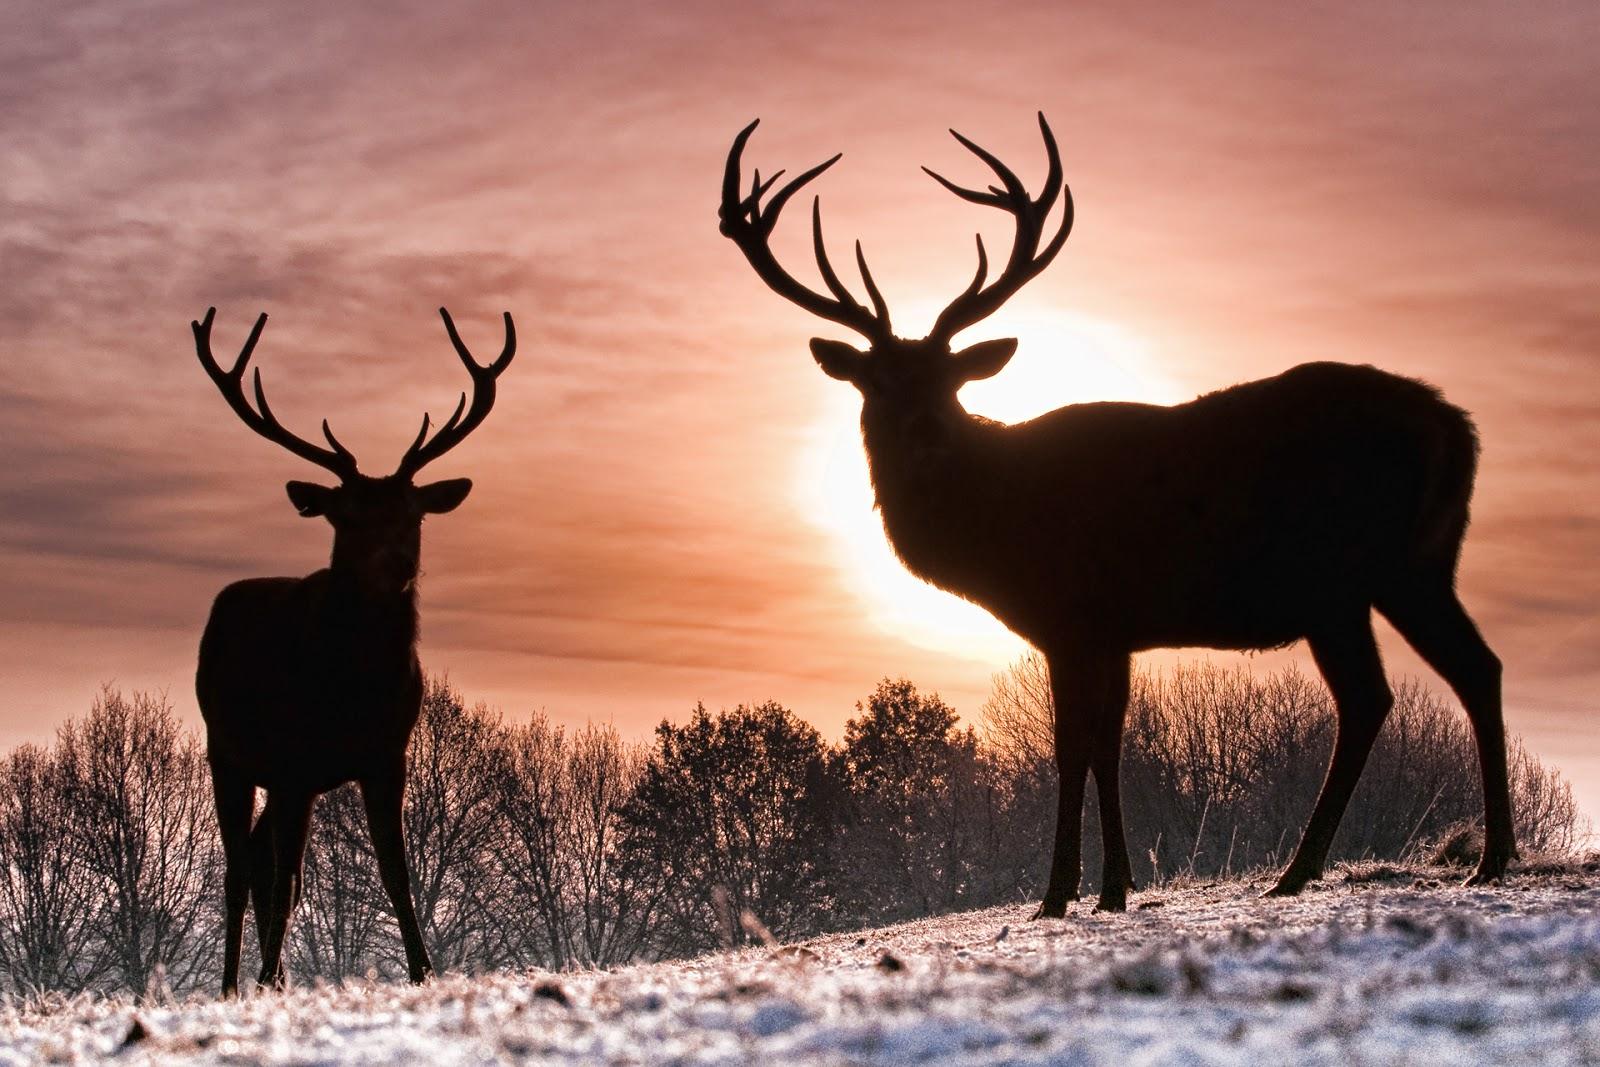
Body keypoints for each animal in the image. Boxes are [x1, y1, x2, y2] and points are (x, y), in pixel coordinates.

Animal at [192, 306, 514, 994]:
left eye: (414, 514)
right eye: (349, 518)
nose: (398, 564)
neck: (351, 687)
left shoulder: (385, 754)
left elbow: (396, 870)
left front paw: (424, 971)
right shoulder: (290, 760)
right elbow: (288, 882)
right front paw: (263, 979)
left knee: (258, 858)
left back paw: (272, 975)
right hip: (226, 752)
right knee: (243, 869)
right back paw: (237, 983)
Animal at [719, 114, 1514, 916]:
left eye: (950, 379)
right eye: (877, 381)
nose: (927, 432)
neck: (996, 527)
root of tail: (1457, 427)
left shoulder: (1070, 614)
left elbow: (1072, 744)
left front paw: (1058, 892)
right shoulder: (1116, 629)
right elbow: (1110, 742)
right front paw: (1116, 886)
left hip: (1339, 576)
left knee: (1371, 695)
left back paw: (1303, 869)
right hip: (1417, 564)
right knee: (1474, 666)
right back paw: (1490, 857)